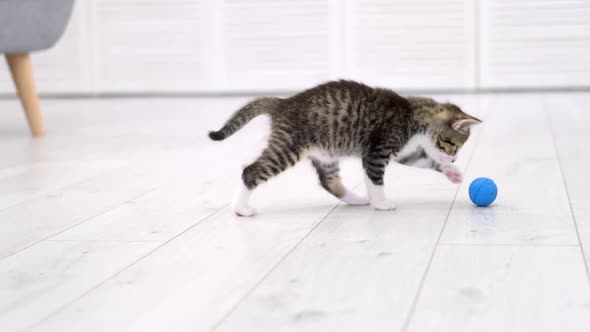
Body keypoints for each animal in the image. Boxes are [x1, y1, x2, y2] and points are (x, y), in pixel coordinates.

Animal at [210, 79, 484, 217]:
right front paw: (380, 202)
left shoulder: (407, 152)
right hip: (288, 147)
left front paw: (452, 173)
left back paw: (356, 199)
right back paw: (241, 208)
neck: (412, 116)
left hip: (325, 153)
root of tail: (283, 103)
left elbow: (424, 161)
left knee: (328, 181)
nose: (453, 160)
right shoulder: (378, 149)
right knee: (251, 171)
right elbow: (375, 179)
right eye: (451, 145)